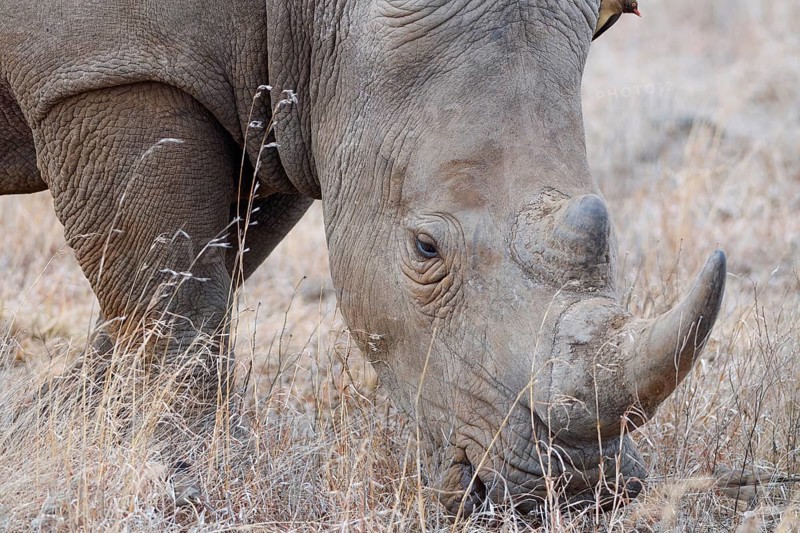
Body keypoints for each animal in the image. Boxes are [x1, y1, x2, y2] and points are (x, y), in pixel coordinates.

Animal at [0, 0, 726, 517]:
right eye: (425, 248)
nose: (574, 492)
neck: (317, 16)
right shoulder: (109, 69)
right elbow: (175, 289)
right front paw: (195, 484)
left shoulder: (284, 104)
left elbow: (203, 270)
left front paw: (45, 431)